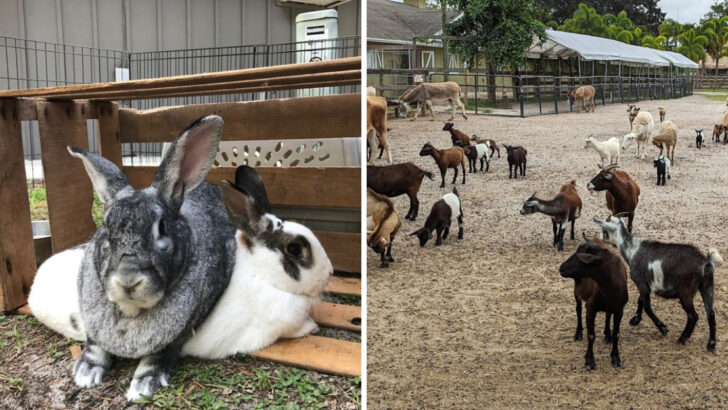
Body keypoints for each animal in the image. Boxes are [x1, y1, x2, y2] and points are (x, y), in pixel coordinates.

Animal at [559, 234, 628, 370]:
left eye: (579, 257)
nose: (561, 268)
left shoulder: (619, 310)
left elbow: (617, 334)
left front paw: (616, 358)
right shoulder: (590, 307)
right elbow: (591, 335)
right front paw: (590, 361)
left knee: (608, 314)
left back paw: (607, 334)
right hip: (577, 291)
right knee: (578, 310)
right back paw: (578, 333)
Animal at [594, 216, 723, 352]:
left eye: (604, 230)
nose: (599, 237)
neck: (633, 251)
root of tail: (705, 262)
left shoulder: (641, 282)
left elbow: (647, 306)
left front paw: (663, 328)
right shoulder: (646, 284)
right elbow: (640, 301)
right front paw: (636, 319)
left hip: (686, 292)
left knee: (693, 316)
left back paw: (682, 338)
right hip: (707, 286)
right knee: (711, 314)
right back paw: (711, 344)